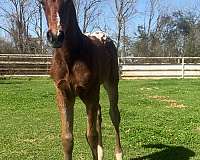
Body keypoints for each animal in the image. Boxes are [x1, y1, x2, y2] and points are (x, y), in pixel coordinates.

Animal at [40, 0, 122, 160]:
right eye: (41, 2)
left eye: (67, 1)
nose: (55, 36)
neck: (71, 58)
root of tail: (103, 35)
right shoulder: (63, 94)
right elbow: (67, 138)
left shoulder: (90, 93)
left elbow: (91, 136)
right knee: (99, 113)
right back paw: (101, 152)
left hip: (111, 83)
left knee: (114, 114)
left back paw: (119, 153)